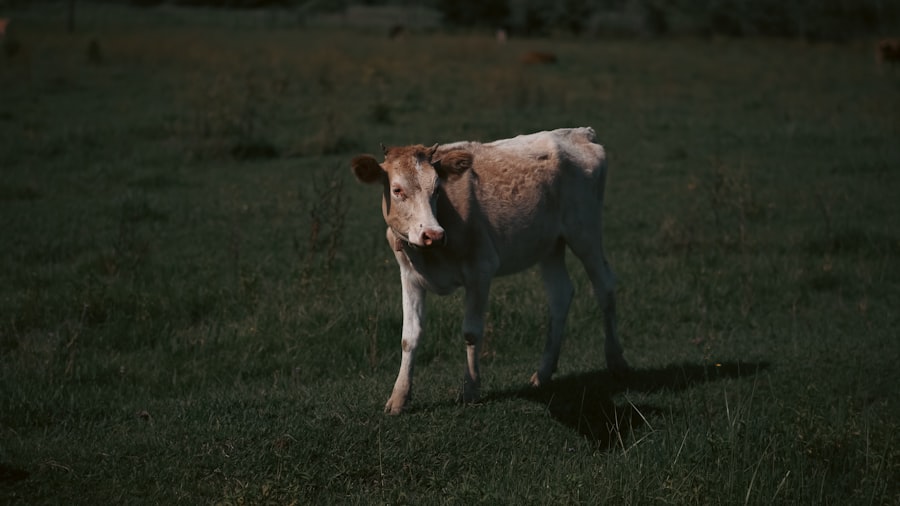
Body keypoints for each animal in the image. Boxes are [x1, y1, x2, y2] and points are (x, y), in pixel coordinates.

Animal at [351, 127, 629, 414]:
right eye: (397, 190)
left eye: (437, 189)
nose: (433, 234)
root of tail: (579, 132)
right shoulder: (409, 276)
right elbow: (410, 336)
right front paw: (398, 397)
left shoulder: (480, 270)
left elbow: (471, 332)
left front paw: (471, 389)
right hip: (549, 244)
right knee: (560, 295)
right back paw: (543, 373)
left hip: (585, 232)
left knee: (604, 286)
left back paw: (616, 361)